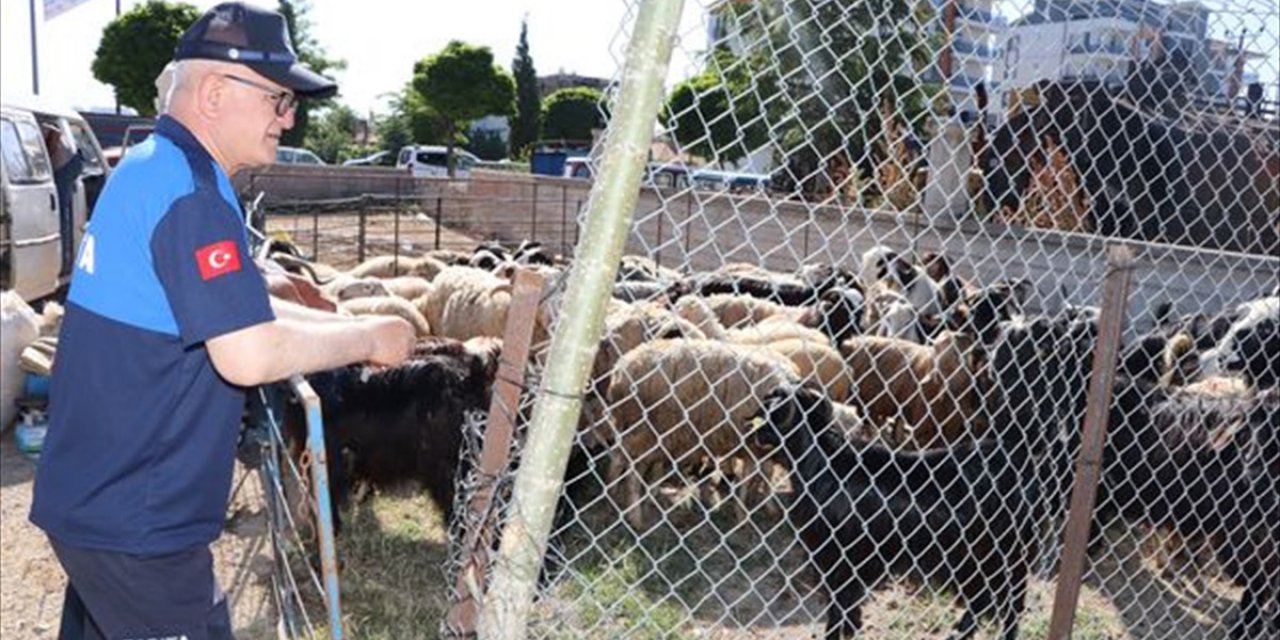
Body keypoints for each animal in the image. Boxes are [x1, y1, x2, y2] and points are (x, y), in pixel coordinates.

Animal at [606, 337, 798, 527]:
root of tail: (620, 369)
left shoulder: (756, 448)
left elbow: (763, 474)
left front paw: (764, 506)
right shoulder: (754, 446)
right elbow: (753, 476)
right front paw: (744, 514)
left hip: (640, 430)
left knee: (621, 457)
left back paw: (618, 495)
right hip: (647, 430)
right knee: (630, 468)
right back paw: (633, 515)